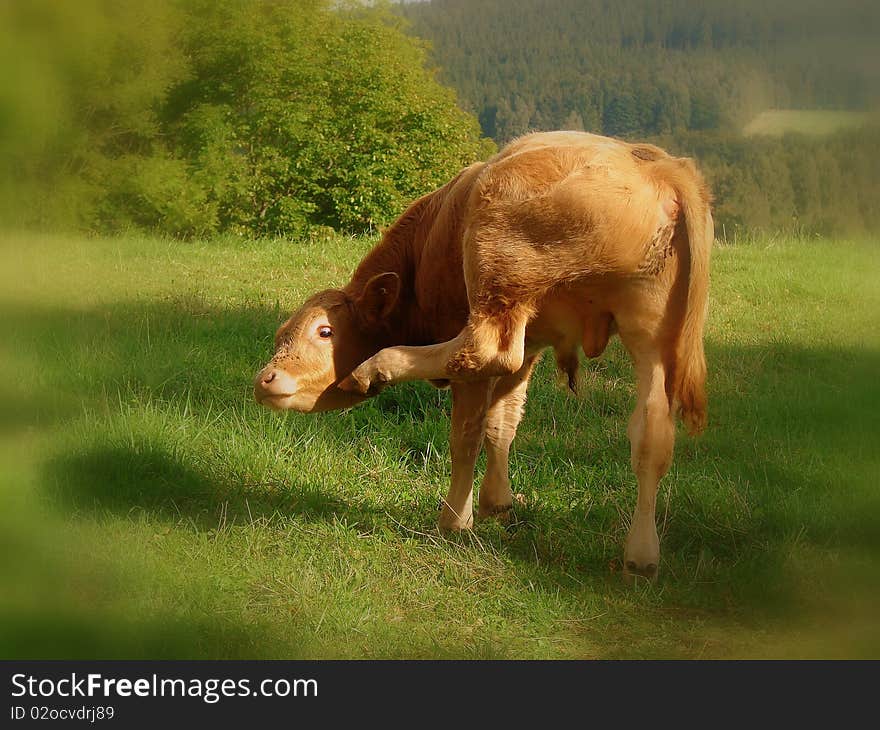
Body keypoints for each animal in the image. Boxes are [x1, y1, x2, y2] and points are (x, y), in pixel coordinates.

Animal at [251, 128, 712, 576]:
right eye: (279, 335)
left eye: (325, 331)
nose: (265, 379)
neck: (426, 245)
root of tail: (657, 164)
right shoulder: (531, 344)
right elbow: (502, 421)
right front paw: (497, 500)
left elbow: (467, 432)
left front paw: (457, 519)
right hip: (650, 330)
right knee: (652, 431)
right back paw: (642, 553)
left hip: (496, 267)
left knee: (481, 351)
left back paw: (377, 367)